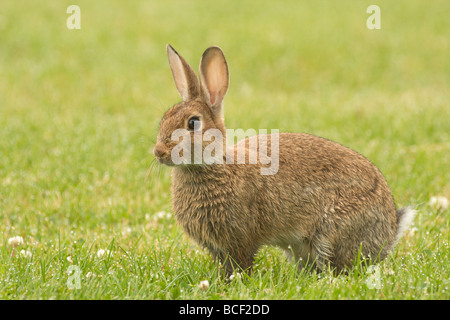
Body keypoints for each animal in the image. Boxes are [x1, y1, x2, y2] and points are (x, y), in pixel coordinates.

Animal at [153, 44, 416, 276]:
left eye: (193, 123)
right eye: (164, 118)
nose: (158, 152)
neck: (215, 164)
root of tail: (390, 230)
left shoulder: (240, 239)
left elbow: (241, 265)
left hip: (331, 233)